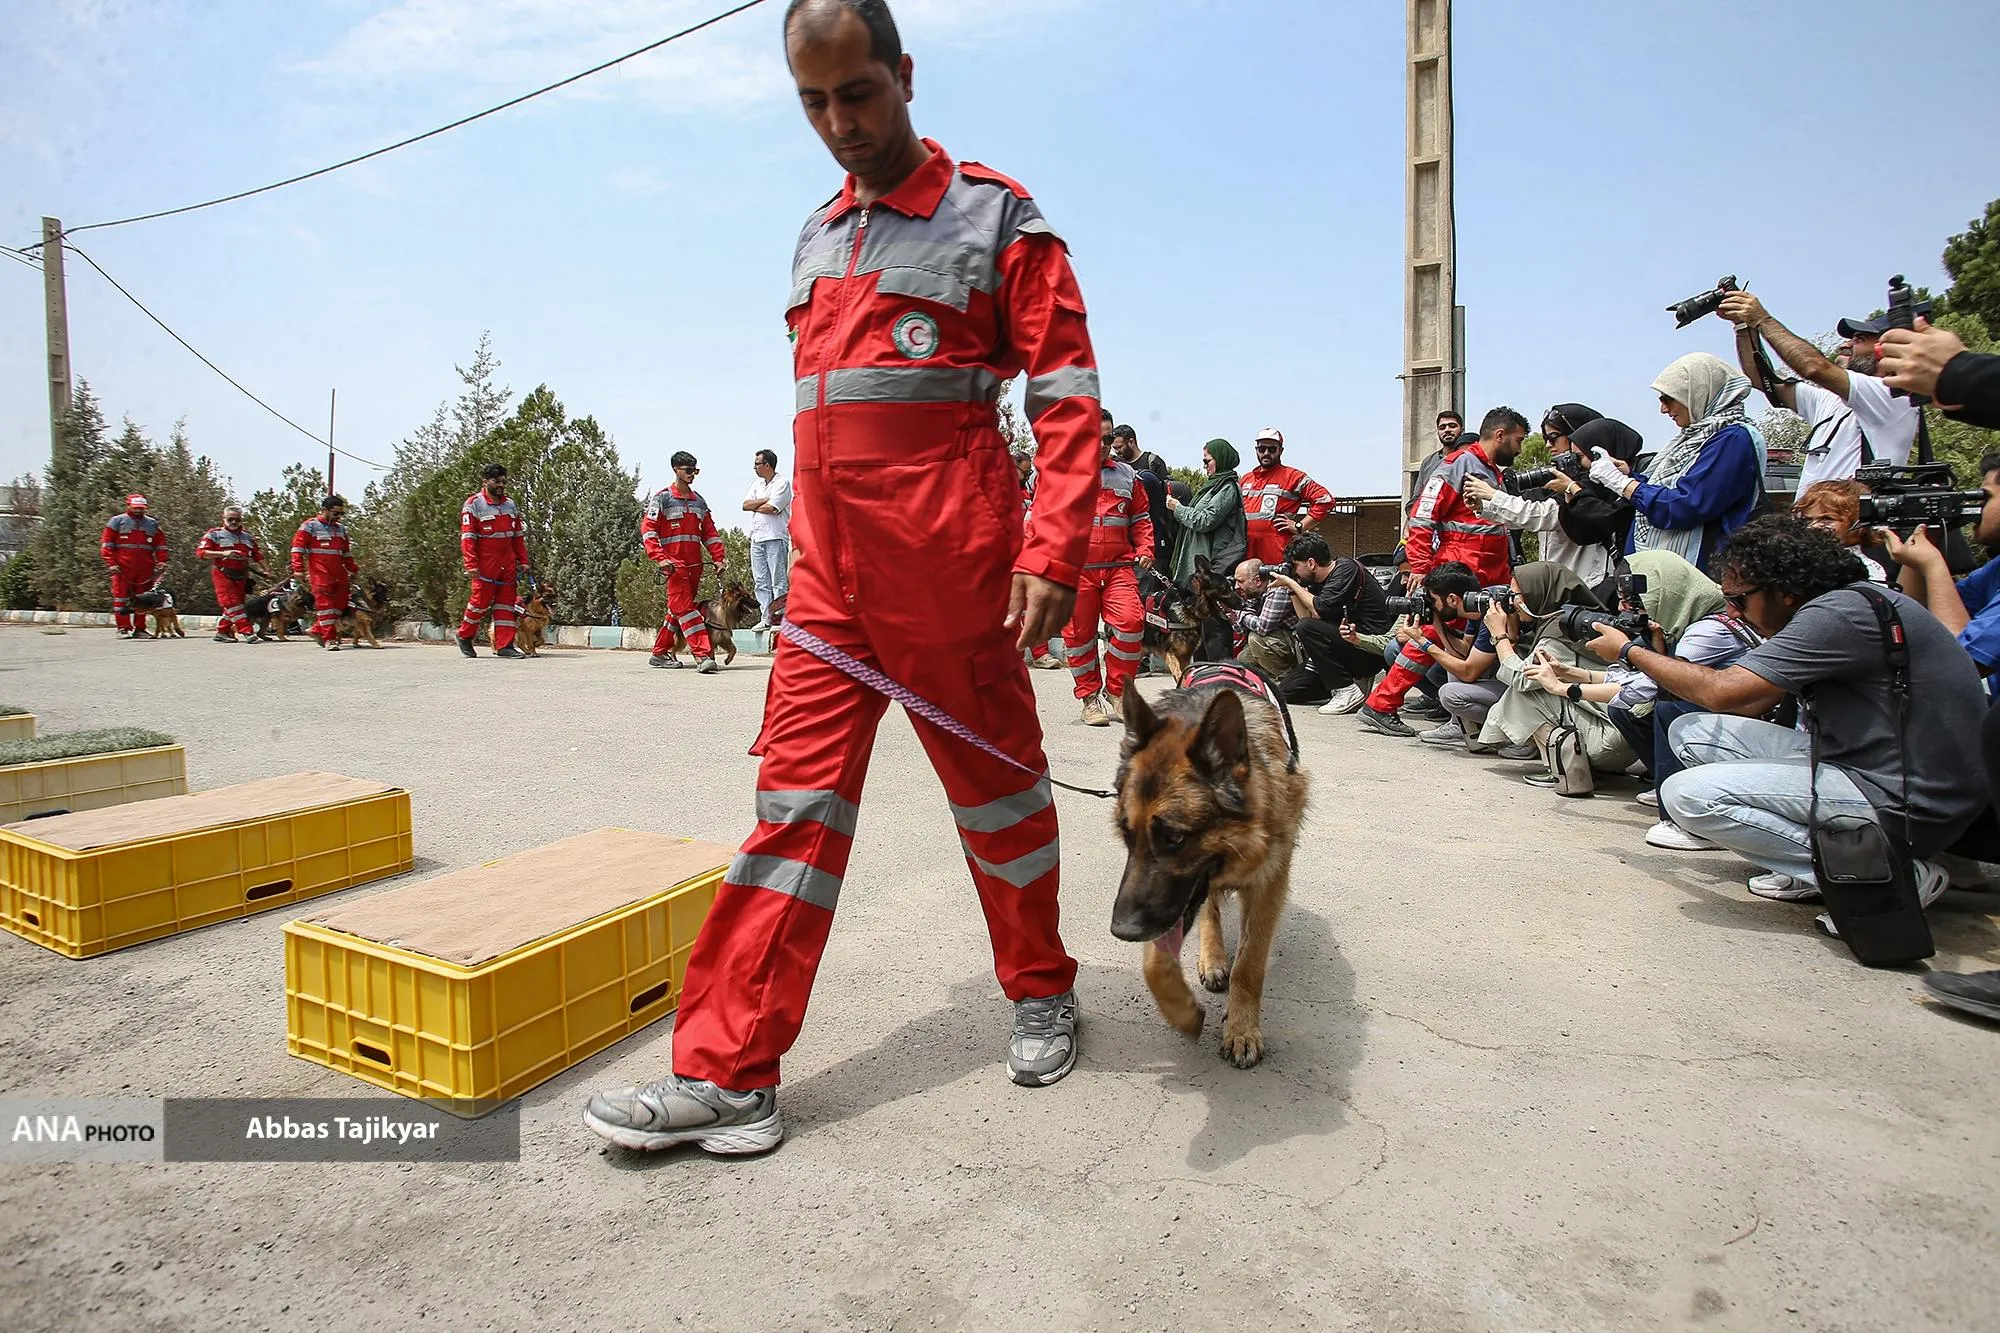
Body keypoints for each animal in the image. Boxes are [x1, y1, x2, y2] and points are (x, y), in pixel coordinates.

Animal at [1110, 662, 1308, 1068]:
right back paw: (1212, 957)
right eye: (1126, 833)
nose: (1121, 930)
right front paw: (1181, 1011)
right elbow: (1155, 961)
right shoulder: (1166, 901)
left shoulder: (1270, 884)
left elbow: (1250, 964)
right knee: (1211, 908)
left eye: (1175, 838)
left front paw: (1242, 1030)